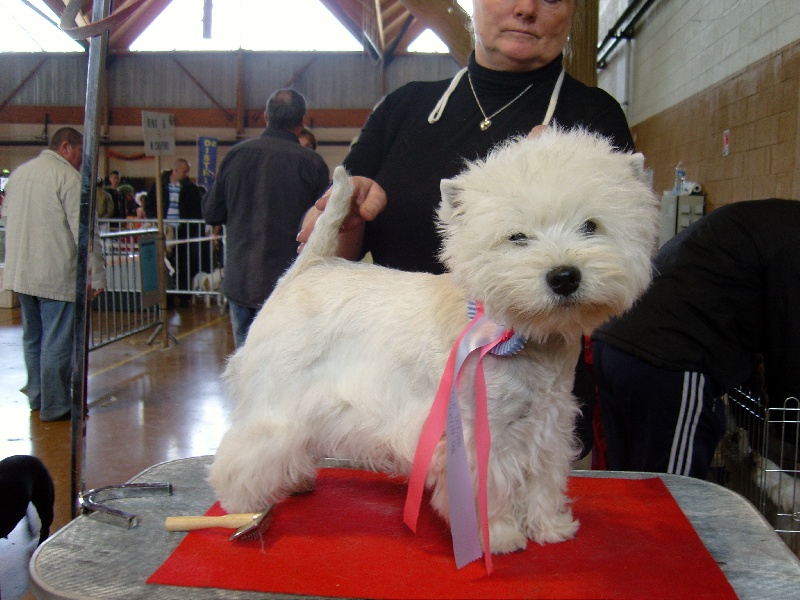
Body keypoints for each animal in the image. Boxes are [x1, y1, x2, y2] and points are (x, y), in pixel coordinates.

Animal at [209, 129, 660, 556]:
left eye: (591, 226)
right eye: (517, 237)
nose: (564, 276)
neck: (528, 337)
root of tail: (309, 266)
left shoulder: (548, 420)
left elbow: (543, 478)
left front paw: (550, 526)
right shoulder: (482, 431)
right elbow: (490, 488)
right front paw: (499, 536)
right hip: (277, 396)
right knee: (245, 450)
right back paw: (241, 505)